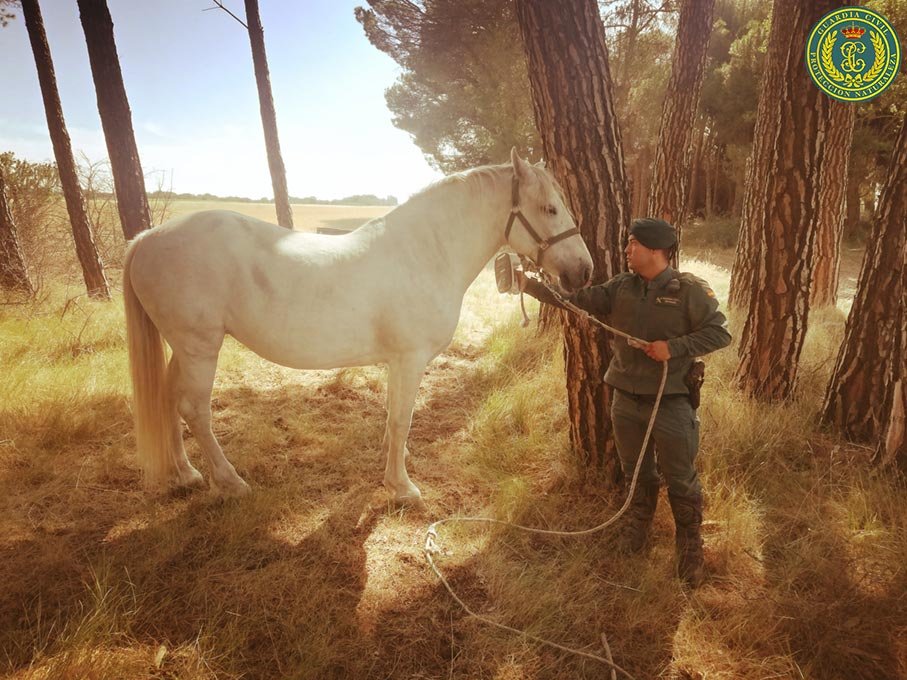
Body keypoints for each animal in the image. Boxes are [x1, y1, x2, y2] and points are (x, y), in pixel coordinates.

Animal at [123, 148, 593, 504]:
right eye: (549, 208)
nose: (584, 271)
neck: (425, 251)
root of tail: (147, 239)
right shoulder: (410, 360)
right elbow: (402, 419)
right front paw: (402, 487)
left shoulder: (396, 363)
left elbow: (392, 416)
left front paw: (391, 465)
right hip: (199, 348)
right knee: (194, 411)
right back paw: (230, 481)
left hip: (182, 349)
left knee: (167, 399)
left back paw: (185, 474)